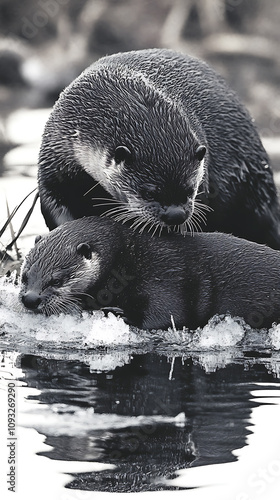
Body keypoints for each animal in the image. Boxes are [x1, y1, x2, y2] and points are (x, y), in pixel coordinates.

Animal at [20, 217, 280, 330]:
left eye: (56, 279)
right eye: (24, 276)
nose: (30, 299)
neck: (128, 258)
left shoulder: (168, 278)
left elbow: (170, 316)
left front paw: (114, 313)